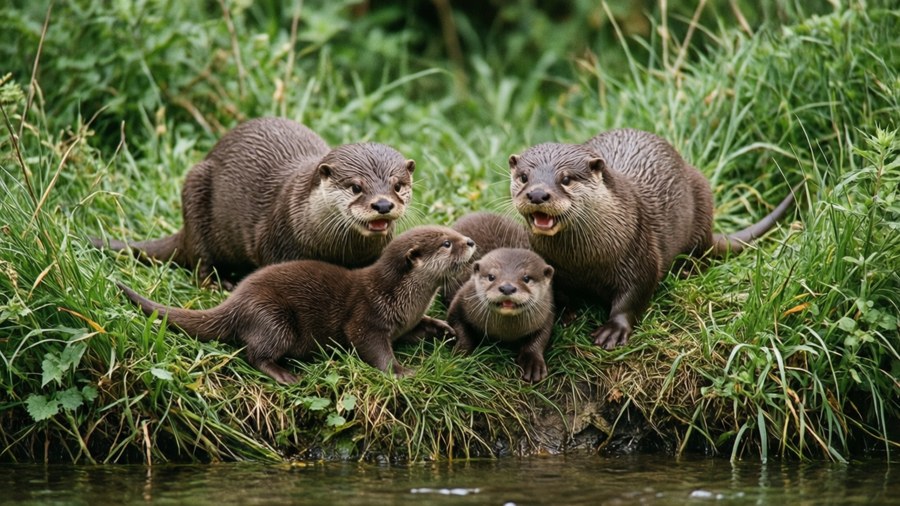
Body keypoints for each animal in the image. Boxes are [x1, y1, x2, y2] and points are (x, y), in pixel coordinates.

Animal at [93, 117, 415, 288]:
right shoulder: (274, 242)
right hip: (195, 188)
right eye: (355, 187)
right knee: (199, 261)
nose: (383, 205)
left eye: (398, 185)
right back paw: (219, 284)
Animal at [117, 226, 476, 384]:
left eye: (452, 231)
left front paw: (443, 329)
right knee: (253, 354)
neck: (401, 298)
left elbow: (419, 328)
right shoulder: (367, 317)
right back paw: (286, 374)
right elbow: (373, 348)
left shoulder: (405, 321)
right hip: (273, 318)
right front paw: (402, 371)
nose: (471, 242)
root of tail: (235, 301)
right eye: (447, 243)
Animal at [447, 248, 555, 382]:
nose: (507, 288)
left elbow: (542, 336)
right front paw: (461, 352)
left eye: (526, 278)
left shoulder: (546, 312)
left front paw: (533, 363)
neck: (504, 332)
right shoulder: (461, 300)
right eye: (491, 277)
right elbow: (457, 324)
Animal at [509, 129, 797, 349]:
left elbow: (635, 293)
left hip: (701, 195)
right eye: (523, 177)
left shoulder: (639, 252)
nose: (537, 194)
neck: (583, 262)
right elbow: (559, 291)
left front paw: (613, 330)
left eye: (566, 178)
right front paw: (565, 313)